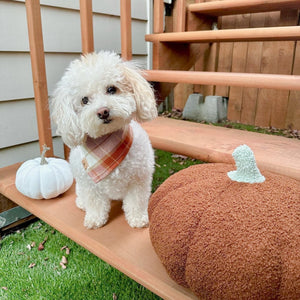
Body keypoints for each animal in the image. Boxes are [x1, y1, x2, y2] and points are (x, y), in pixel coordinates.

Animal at [51, 52, 157, 230]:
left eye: (111, 89)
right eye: (84, 100)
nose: (103, 112)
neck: (106, 148)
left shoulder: (139, 180)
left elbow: (136, 201)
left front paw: (138, 218)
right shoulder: (90, 185)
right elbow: (95, 203)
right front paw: (94, 219)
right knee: (81, 194)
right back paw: (81, 203)